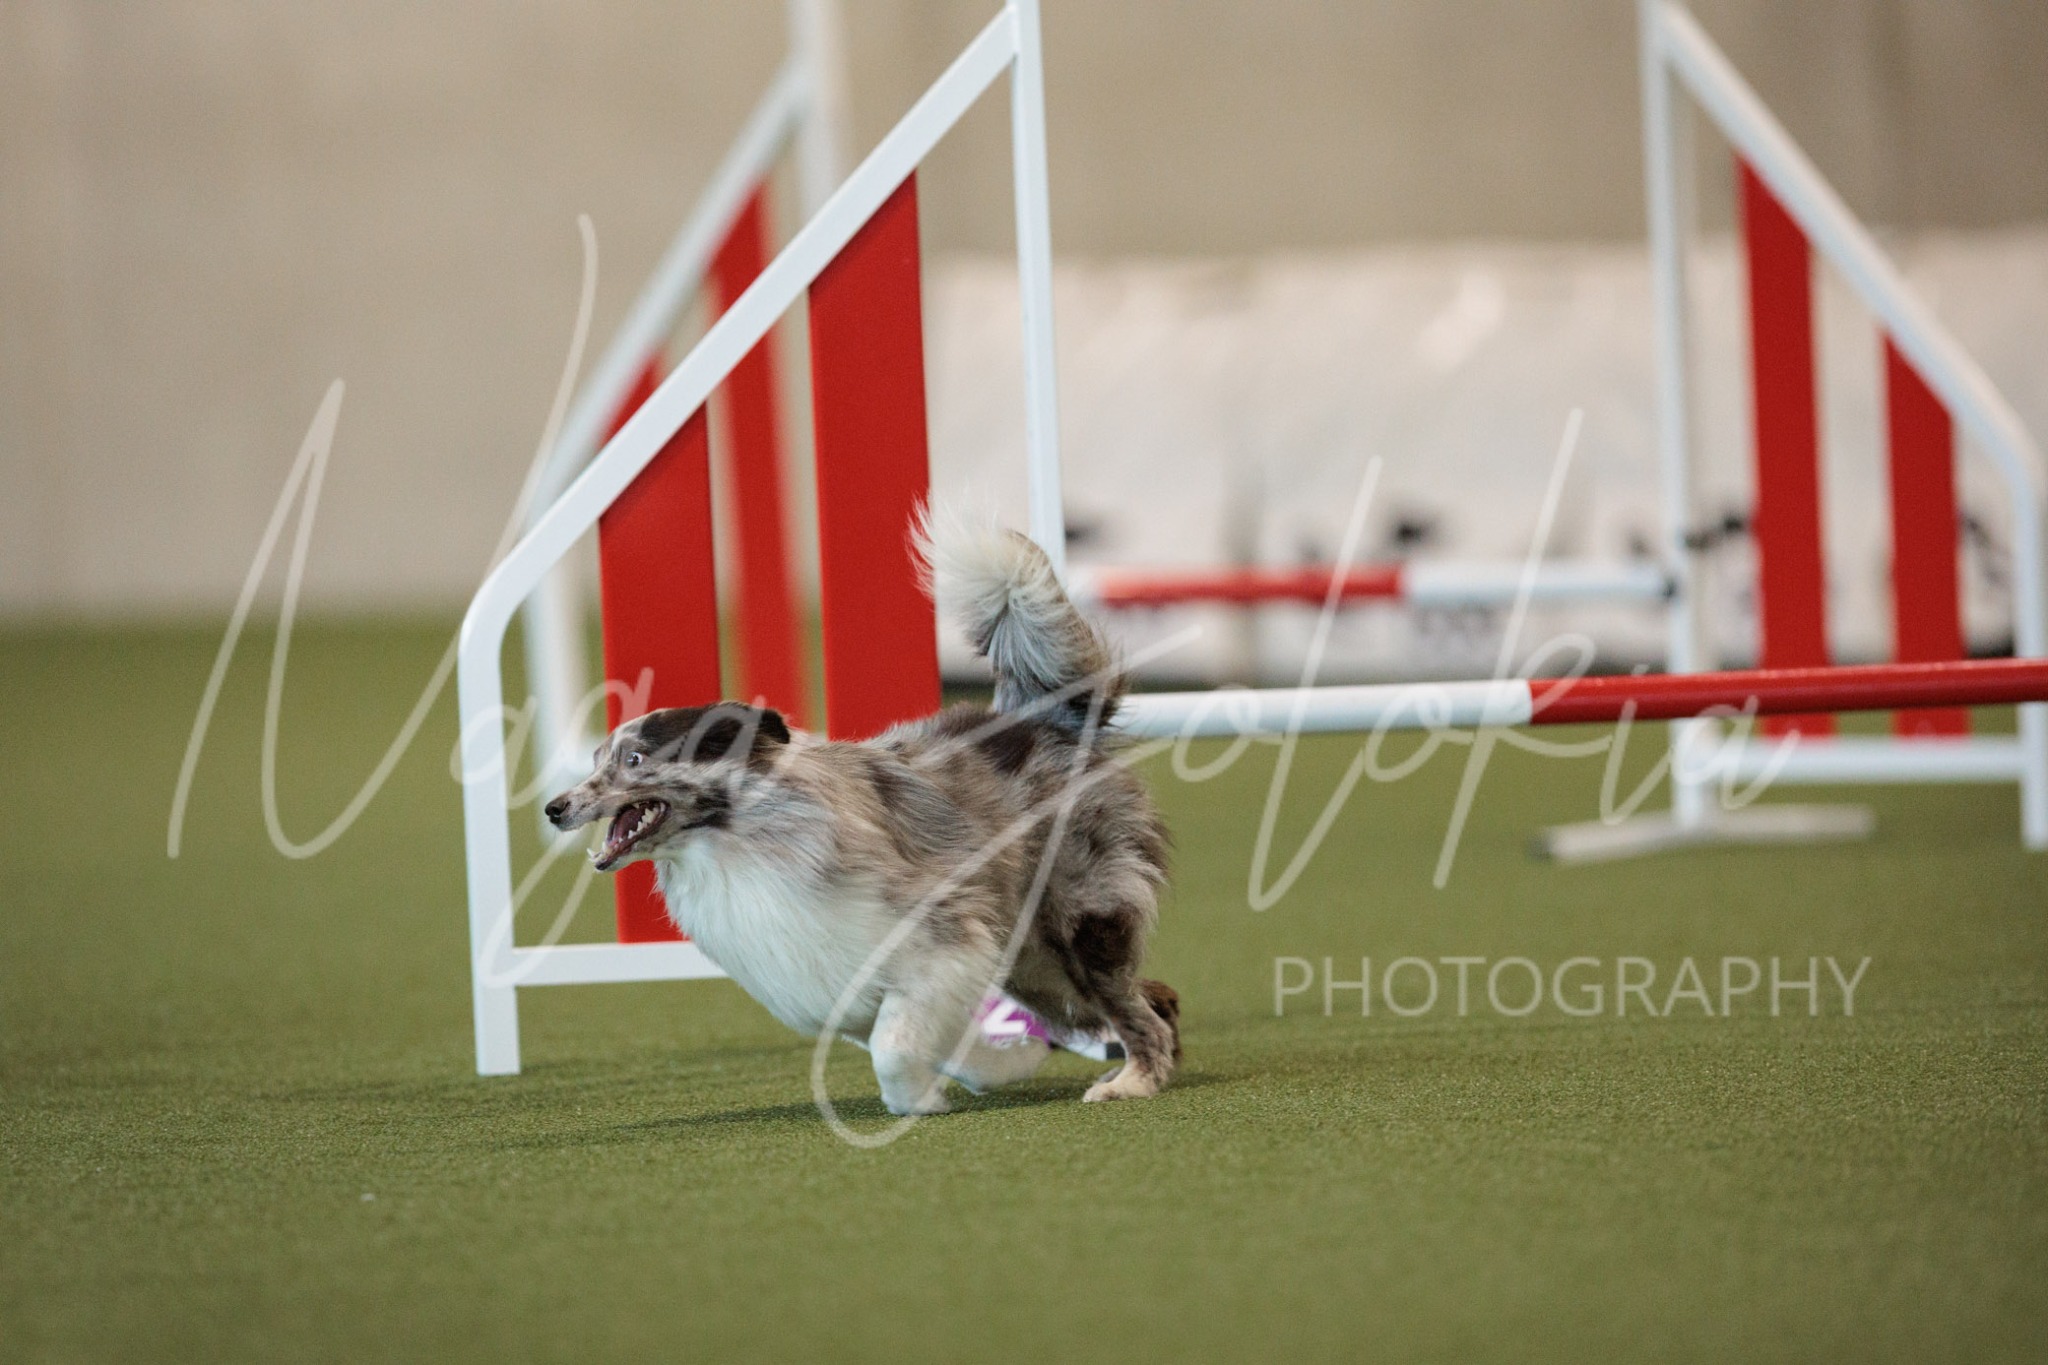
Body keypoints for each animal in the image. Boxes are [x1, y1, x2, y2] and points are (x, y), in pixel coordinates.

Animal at [544, 515, 1178, 1114]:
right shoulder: (851, 987)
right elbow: (943, 1051)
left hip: (1076, 926)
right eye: (594, 759)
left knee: (1131, 1008)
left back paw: (1132, 1082)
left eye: (633, 759)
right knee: (1144, 1000)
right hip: (1036, 964)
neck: (740, 843)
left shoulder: (939, 941)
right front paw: (992, 1072)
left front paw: (922, 1098)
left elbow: (891, 1049)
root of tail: (1043, 720)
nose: (554, 808)